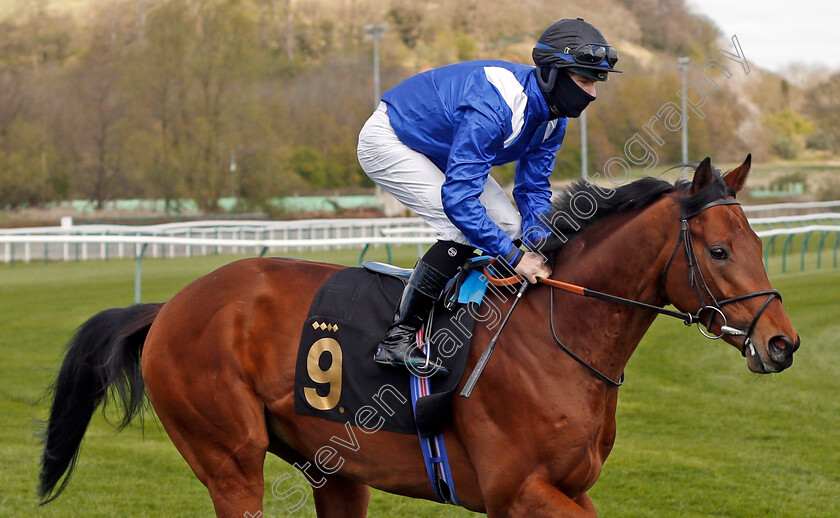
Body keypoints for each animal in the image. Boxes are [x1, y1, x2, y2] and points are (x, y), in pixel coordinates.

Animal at [39, 156, 800, 516]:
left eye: (760, 241)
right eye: (721, 251)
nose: (782, 342)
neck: (557, 335)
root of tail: (172, 304)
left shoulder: (563, 488)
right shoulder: (518, 491)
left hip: (333, 470)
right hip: (229, 460)